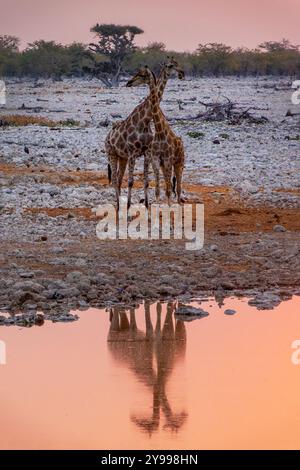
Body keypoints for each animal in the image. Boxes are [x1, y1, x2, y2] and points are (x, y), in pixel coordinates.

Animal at [105, 57, 185, 207]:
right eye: (170, 65)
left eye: (142, 74)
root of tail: (107, 137)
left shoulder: (146, 153)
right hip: (111, 153)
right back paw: (118, 206)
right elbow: (131, 182)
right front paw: (129, 205)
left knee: (119, 178)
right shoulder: (133, 153)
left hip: (122, 157)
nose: (128, 83)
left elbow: (146, 182)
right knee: (114, 178)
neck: (146, 120)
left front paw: (147, 205)